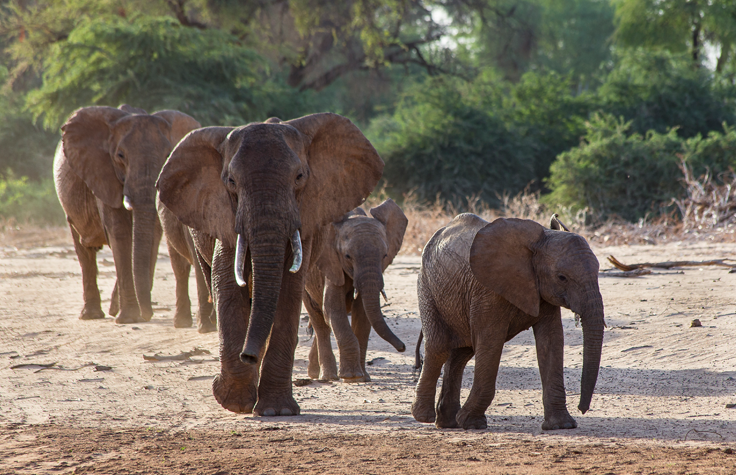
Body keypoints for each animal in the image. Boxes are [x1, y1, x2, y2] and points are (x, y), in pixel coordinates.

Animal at [54, 104, 200, 324]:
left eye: (168, 155)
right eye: (120, 156)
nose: (148, 314)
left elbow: (151, 235)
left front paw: (135, 314)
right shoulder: (103, 173)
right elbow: (120, 232)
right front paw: (130, 318)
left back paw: (113, 309)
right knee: (84, 250)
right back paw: (92, 315)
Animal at [303, 198, 408, 382]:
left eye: (385, 255)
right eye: (347, 256)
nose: (403, 347)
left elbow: (363, 313)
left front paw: (362, 377)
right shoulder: (331, 262)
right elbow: (333, 309)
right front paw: (351, 377)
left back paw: (316, 373)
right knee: (318, 319)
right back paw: (327, 377)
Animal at [412, 214, 604, 430]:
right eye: (562, 277)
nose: (582, 408)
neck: (539, 241)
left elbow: (551, 340)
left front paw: (561, 425)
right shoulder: (488, 291)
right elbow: (491, 341)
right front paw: (472, 422)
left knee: (460, 354)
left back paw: (448, 423)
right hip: (427, 287)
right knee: (439, 347)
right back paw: (424, 417)